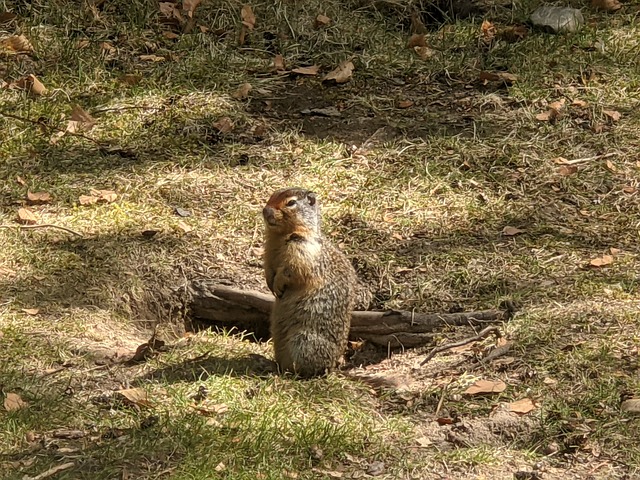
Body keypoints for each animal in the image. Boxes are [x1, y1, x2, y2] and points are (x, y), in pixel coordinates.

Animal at [264, 188, 364, 378]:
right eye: (271, 195)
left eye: (291, 202)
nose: (265, 211)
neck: (279, 236)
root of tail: (333, 367)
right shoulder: (269, 252)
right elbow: (268, 268)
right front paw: (270, 284)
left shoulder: (303, 248)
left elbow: (292, 270)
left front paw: (279, 285)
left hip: (303, 340)